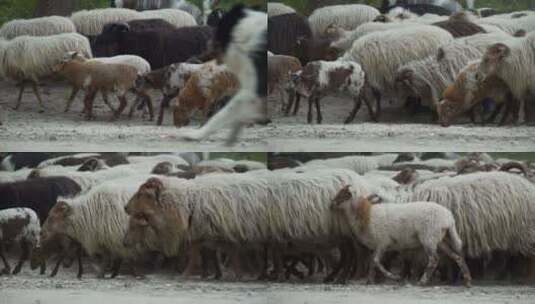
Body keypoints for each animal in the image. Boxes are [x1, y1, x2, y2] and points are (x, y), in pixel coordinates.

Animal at [332, 192, 472, 288]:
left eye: (343, 195)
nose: (331, 203)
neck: (366, 216)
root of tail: (449, 218)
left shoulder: (383, 242)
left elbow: (376, 261)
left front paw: (394, 277)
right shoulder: (379, 245)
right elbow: (372, 262)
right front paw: (369, 280)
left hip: (428, 237)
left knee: (434, 259)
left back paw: (422, 281)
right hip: (439, 239)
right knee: (457, 256)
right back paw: (467, 280)